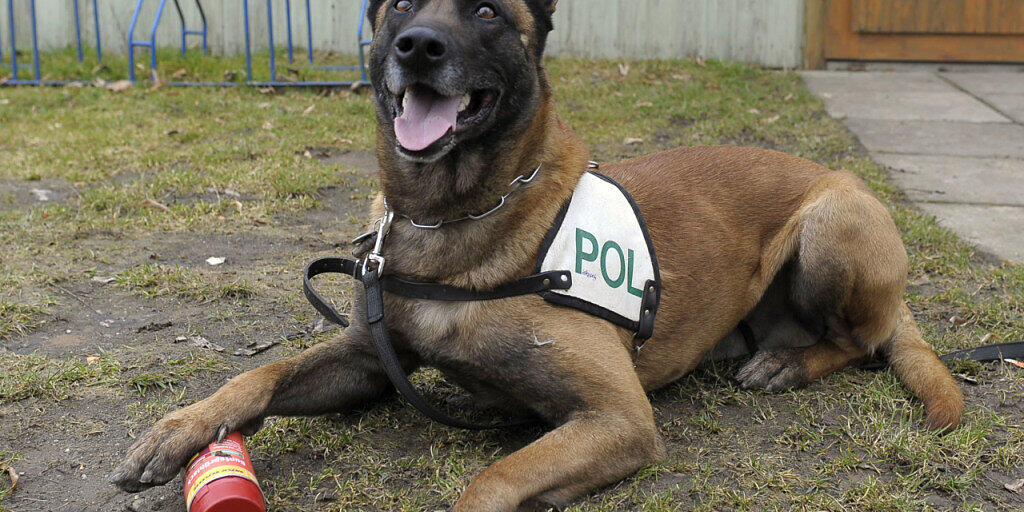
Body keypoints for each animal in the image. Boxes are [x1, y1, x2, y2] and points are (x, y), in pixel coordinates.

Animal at [114, 1, 966, 507]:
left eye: (488, 11)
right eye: (401, 6)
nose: (419, 47)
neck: (456, 216)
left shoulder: (617, 418)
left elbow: (490, 480)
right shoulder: (367, 358)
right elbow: (256, 376)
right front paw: (181, 429)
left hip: (831, 225)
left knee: (860, 342)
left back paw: (789, 363)